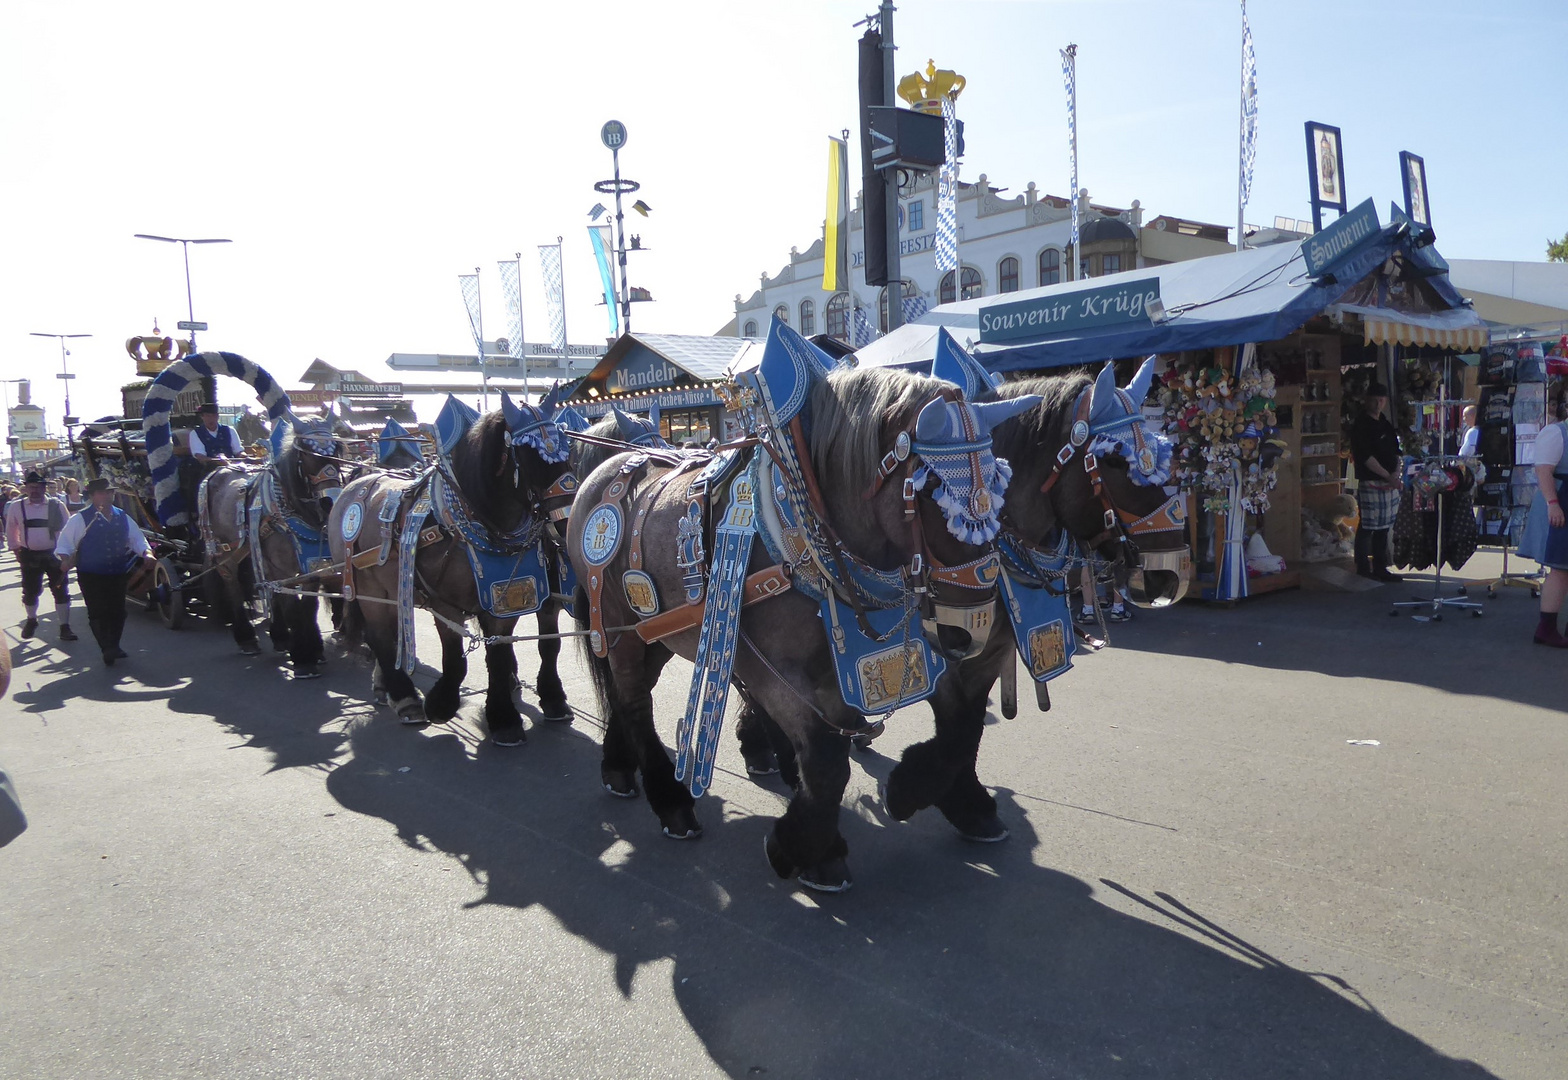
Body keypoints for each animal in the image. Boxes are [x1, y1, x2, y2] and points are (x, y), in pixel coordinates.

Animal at [199, 413, 349, 674]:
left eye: (336, 450)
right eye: (306, 454)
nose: (331, 502)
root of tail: (217, 471)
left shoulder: (312, 564)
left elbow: (308, 607)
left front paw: (313, 649)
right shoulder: (285, 568)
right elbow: (293, 607)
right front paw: (303, 659)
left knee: (268, 587)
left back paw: (279, 636)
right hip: (224, 552)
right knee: (234, 586)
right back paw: (247, 637)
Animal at [327, 391, 580, 746]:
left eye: (567, 449)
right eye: (528, 455)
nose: (568, 523)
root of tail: (356, 483)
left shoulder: (509, 600)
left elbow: (503, 655)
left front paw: (504, 718)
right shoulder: (445, 604)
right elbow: (455, 660)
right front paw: (441, 704)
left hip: (393, 590)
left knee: (389, 636)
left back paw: (386, 687)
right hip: (368, 589)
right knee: (380, 637)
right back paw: (406, 698)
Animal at [567, 324, 1041, 890]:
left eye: (1000, 485)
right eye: (933, 494)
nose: (971, 630)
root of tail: (609, 466)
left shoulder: (841, 667)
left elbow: (938, 730)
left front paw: (895, 801)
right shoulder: (769, 668)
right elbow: (827, 756)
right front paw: (807, 849)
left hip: (654, 631)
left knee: (626, 691)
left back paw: (620, 767)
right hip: (616, 624)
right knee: (634, 698)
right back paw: (671, 800)